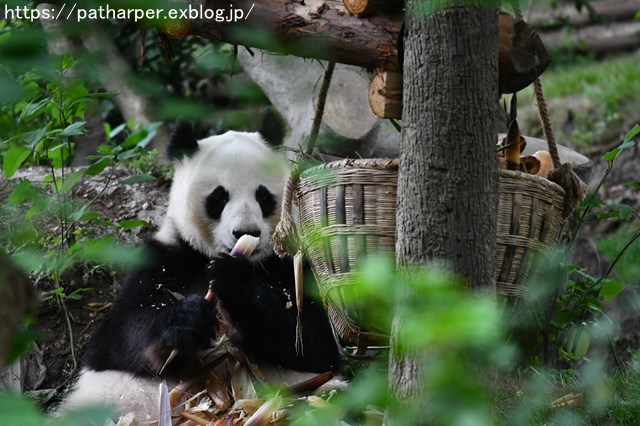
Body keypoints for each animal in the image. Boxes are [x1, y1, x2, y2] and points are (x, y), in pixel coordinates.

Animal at [59, 123, 340, 422]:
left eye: (263, 195)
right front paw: (187, 321)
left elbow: (314, 341)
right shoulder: (164, 258)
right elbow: (123, 336)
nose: (246, 232)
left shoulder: (288, 265)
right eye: (219, 196)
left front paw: (233, 282)